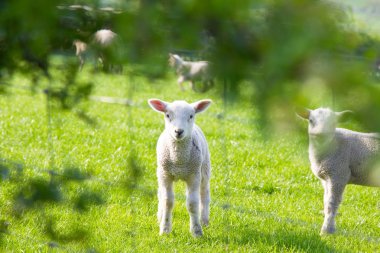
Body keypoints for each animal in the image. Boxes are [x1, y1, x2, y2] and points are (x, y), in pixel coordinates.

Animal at [147, 98, 212, 236]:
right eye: (167, 115)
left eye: (191, 116)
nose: (178, 131)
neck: (179, 161)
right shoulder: (165, 175)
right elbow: (167, 202)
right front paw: (165, 229)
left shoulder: (194, 175)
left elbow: (193, 203)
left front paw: (197, 231)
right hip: (160, 172)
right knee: (160, 193)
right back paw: (160, 216)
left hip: (204, 169)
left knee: (204, 194)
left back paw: (204, 220)